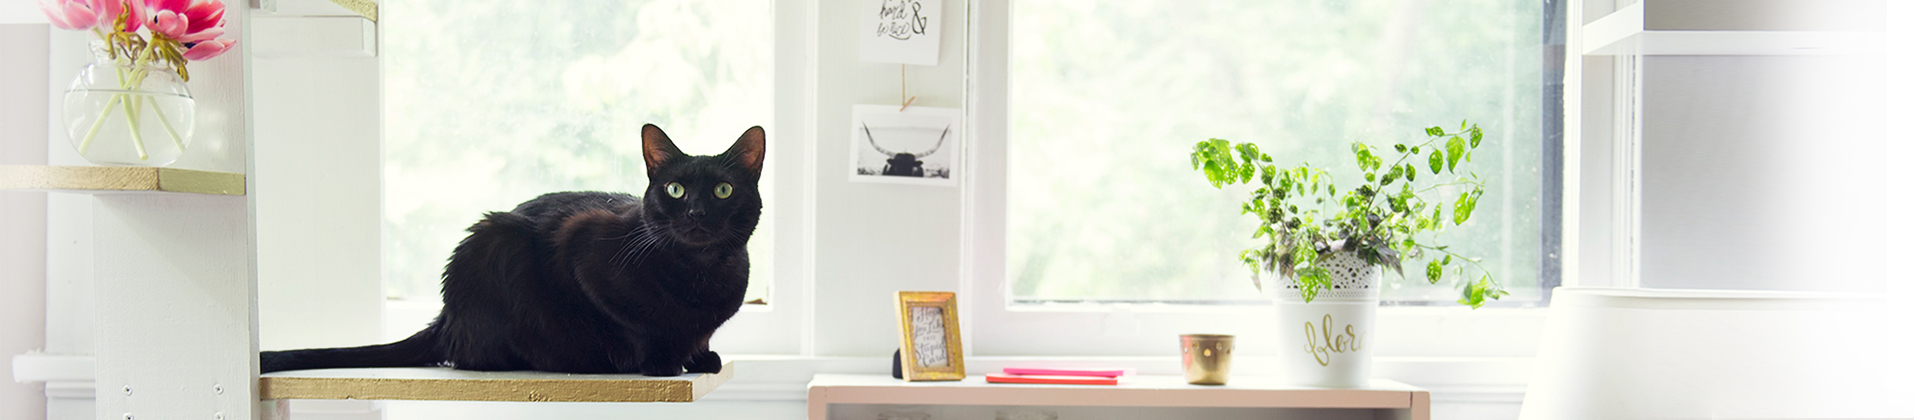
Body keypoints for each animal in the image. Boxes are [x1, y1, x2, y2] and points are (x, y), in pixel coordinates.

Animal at [260, 124, 765, 376]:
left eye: (722, 190)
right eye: (675, 189)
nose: (696, 212)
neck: (701, 274)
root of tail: (445, 317)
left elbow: (700, 335)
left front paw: (700, 357)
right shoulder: (581, 249)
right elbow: (637, 325)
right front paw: (659, 362)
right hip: (493, 243)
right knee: (472, 356)